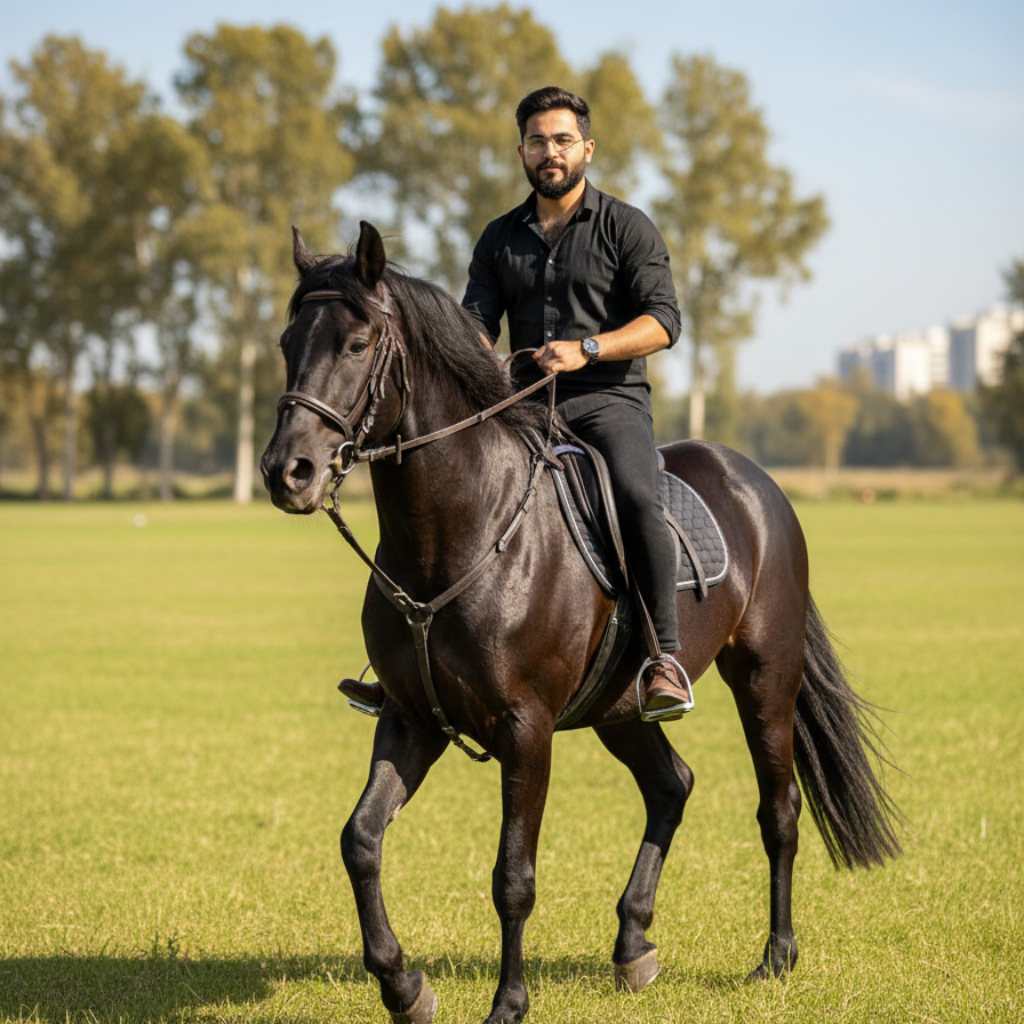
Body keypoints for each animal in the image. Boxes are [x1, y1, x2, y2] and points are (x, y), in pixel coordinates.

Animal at [260, 222, 901, 1024]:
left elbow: (513, 876)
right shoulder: (412, 719)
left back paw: (775, 957)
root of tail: (760, 487)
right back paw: (633, 945)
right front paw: (403, 987)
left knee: (778, 810)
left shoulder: (526, 728)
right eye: (288, 341)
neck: (459, 533)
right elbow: (361, 840)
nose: (286, 472)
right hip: (620, 708)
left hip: (765, 679)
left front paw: (508, 1004)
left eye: (355, 343)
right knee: (672, 785)